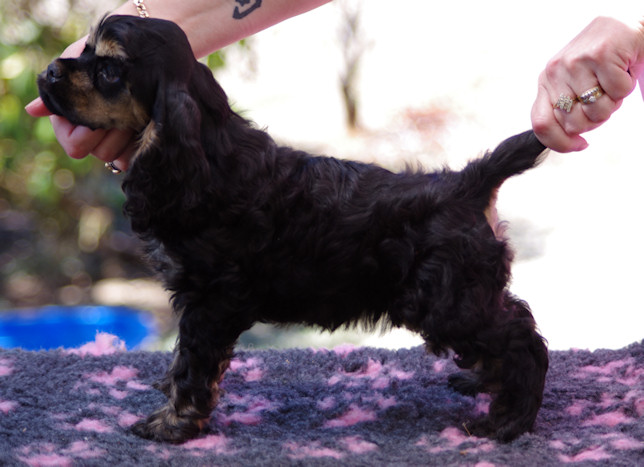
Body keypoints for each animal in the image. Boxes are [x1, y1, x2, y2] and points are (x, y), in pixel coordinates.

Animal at [37, 15, 549, 444]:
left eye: (109, 71)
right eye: (85, 51)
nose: (48, 71)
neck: (207, 152)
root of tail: (467, 181)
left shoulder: (211, 299)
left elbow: (193, 365)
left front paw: (170, 424)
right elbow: (182, 356)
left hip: (445, 302)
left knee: (521, 341)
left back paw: (508, 421)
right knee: (514, 321)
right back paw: (481, 382)